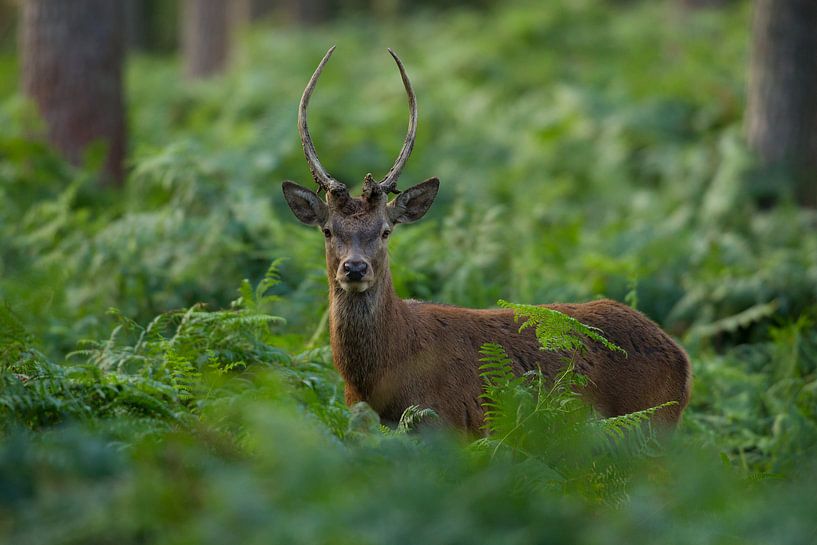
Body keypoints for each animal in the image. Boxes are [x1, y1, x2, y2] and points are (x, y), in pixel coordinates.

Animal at [281, 47, 692, 434]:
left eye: (385, 230)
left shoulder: (445, 422)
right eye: (328, 230)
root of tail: (684, 362)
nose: (354, 268)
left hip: (652, 422)